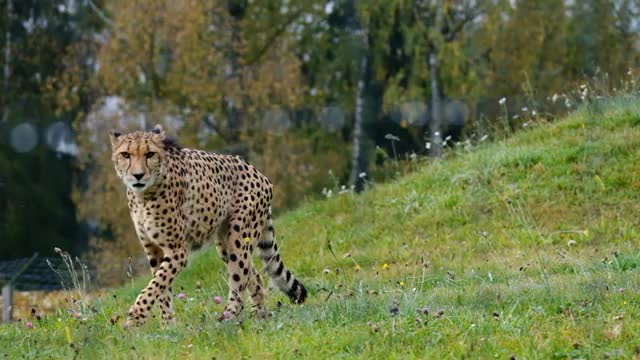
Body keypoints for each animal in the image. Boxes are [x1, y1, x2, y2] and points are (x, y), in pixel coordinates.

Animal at [109, 125, 306, 328]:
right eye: (125, 154)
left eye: (150, 154)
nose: (137, 175)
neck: (144, 195)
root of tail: (257, 171)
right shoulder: (153, 250)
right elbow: (161, 288)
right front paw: (168, 325)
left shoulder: (177, 250)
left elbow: (156, 283)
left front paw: (135, 317)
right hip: (224, 243)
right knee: (254, 276)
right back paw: (259, 316)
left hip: (238, 236)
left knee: (239, 278)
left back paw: (228, 316)